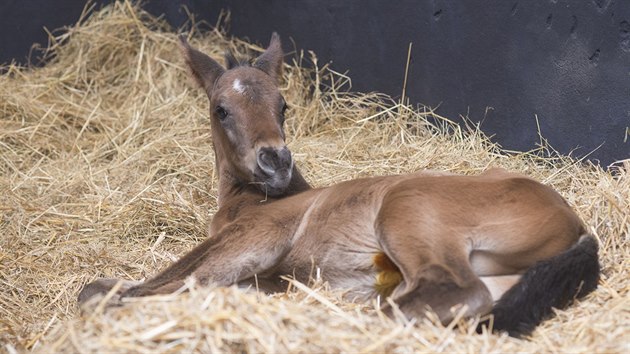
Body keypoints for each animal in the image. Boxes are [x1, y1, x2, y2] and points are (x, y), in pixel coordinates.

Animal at [80, 33, 604, 338]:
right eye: (220, 109)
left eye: (283, 104)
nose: (275, 160)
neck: (254, 200)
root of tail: (578, 225)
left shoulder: (255, 237)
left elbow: (171, 280)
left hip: (407, 207)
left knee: (453, 291)